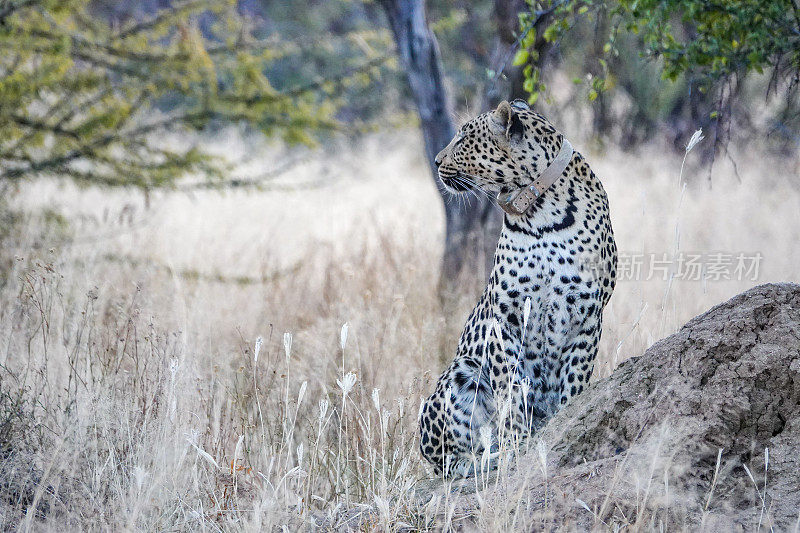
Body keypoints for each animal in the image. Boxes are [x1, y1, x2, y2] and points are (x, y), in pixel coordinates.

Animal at [418, 100, 620, 478]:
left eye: (464, 138)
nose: (436, 161)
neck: (542, 213)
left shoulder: (588, 313)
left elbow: (575, 378)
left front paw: (567, 423)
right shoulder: (506, 315)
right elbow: (510, 390)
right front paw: (516, 443)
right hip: (460, 371)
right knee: (451, 460)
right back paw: (485, 458)